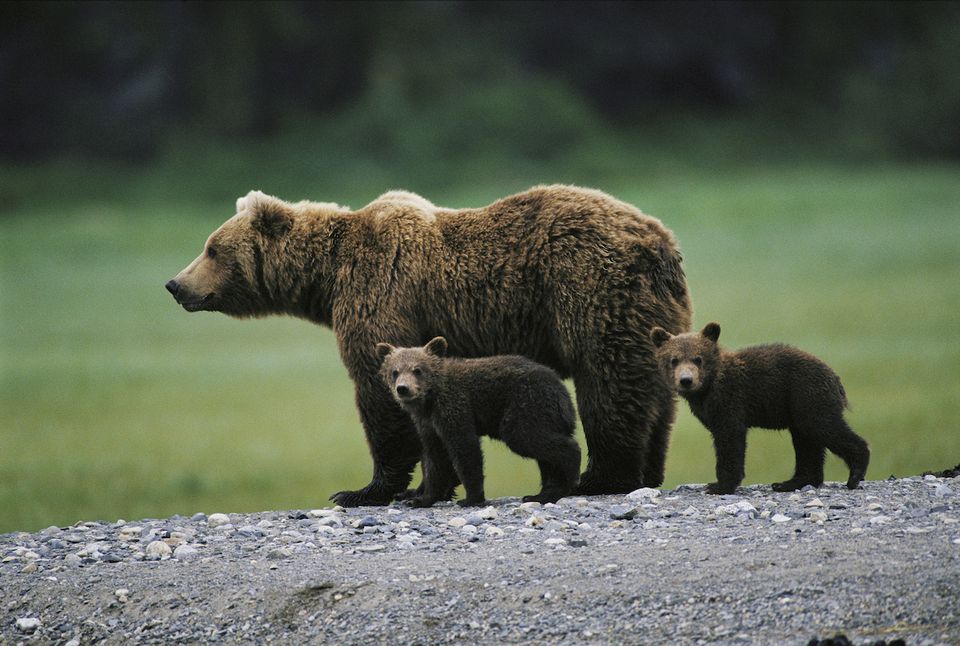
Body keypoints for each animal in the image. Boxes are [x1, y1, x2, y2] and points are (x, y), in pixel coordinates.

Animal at [165, 186, 688, 506]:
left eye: (212, 249)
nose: (175, 284)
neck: (327, 280)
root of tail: (660, 240)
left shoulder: (382, 292)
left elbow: (380, 398)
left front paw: (364, 490)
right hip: (655, 316)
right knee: (654, 394)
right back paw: (645, 473)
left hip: (590, 287)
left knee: (608, 381)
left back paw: (599, 478)